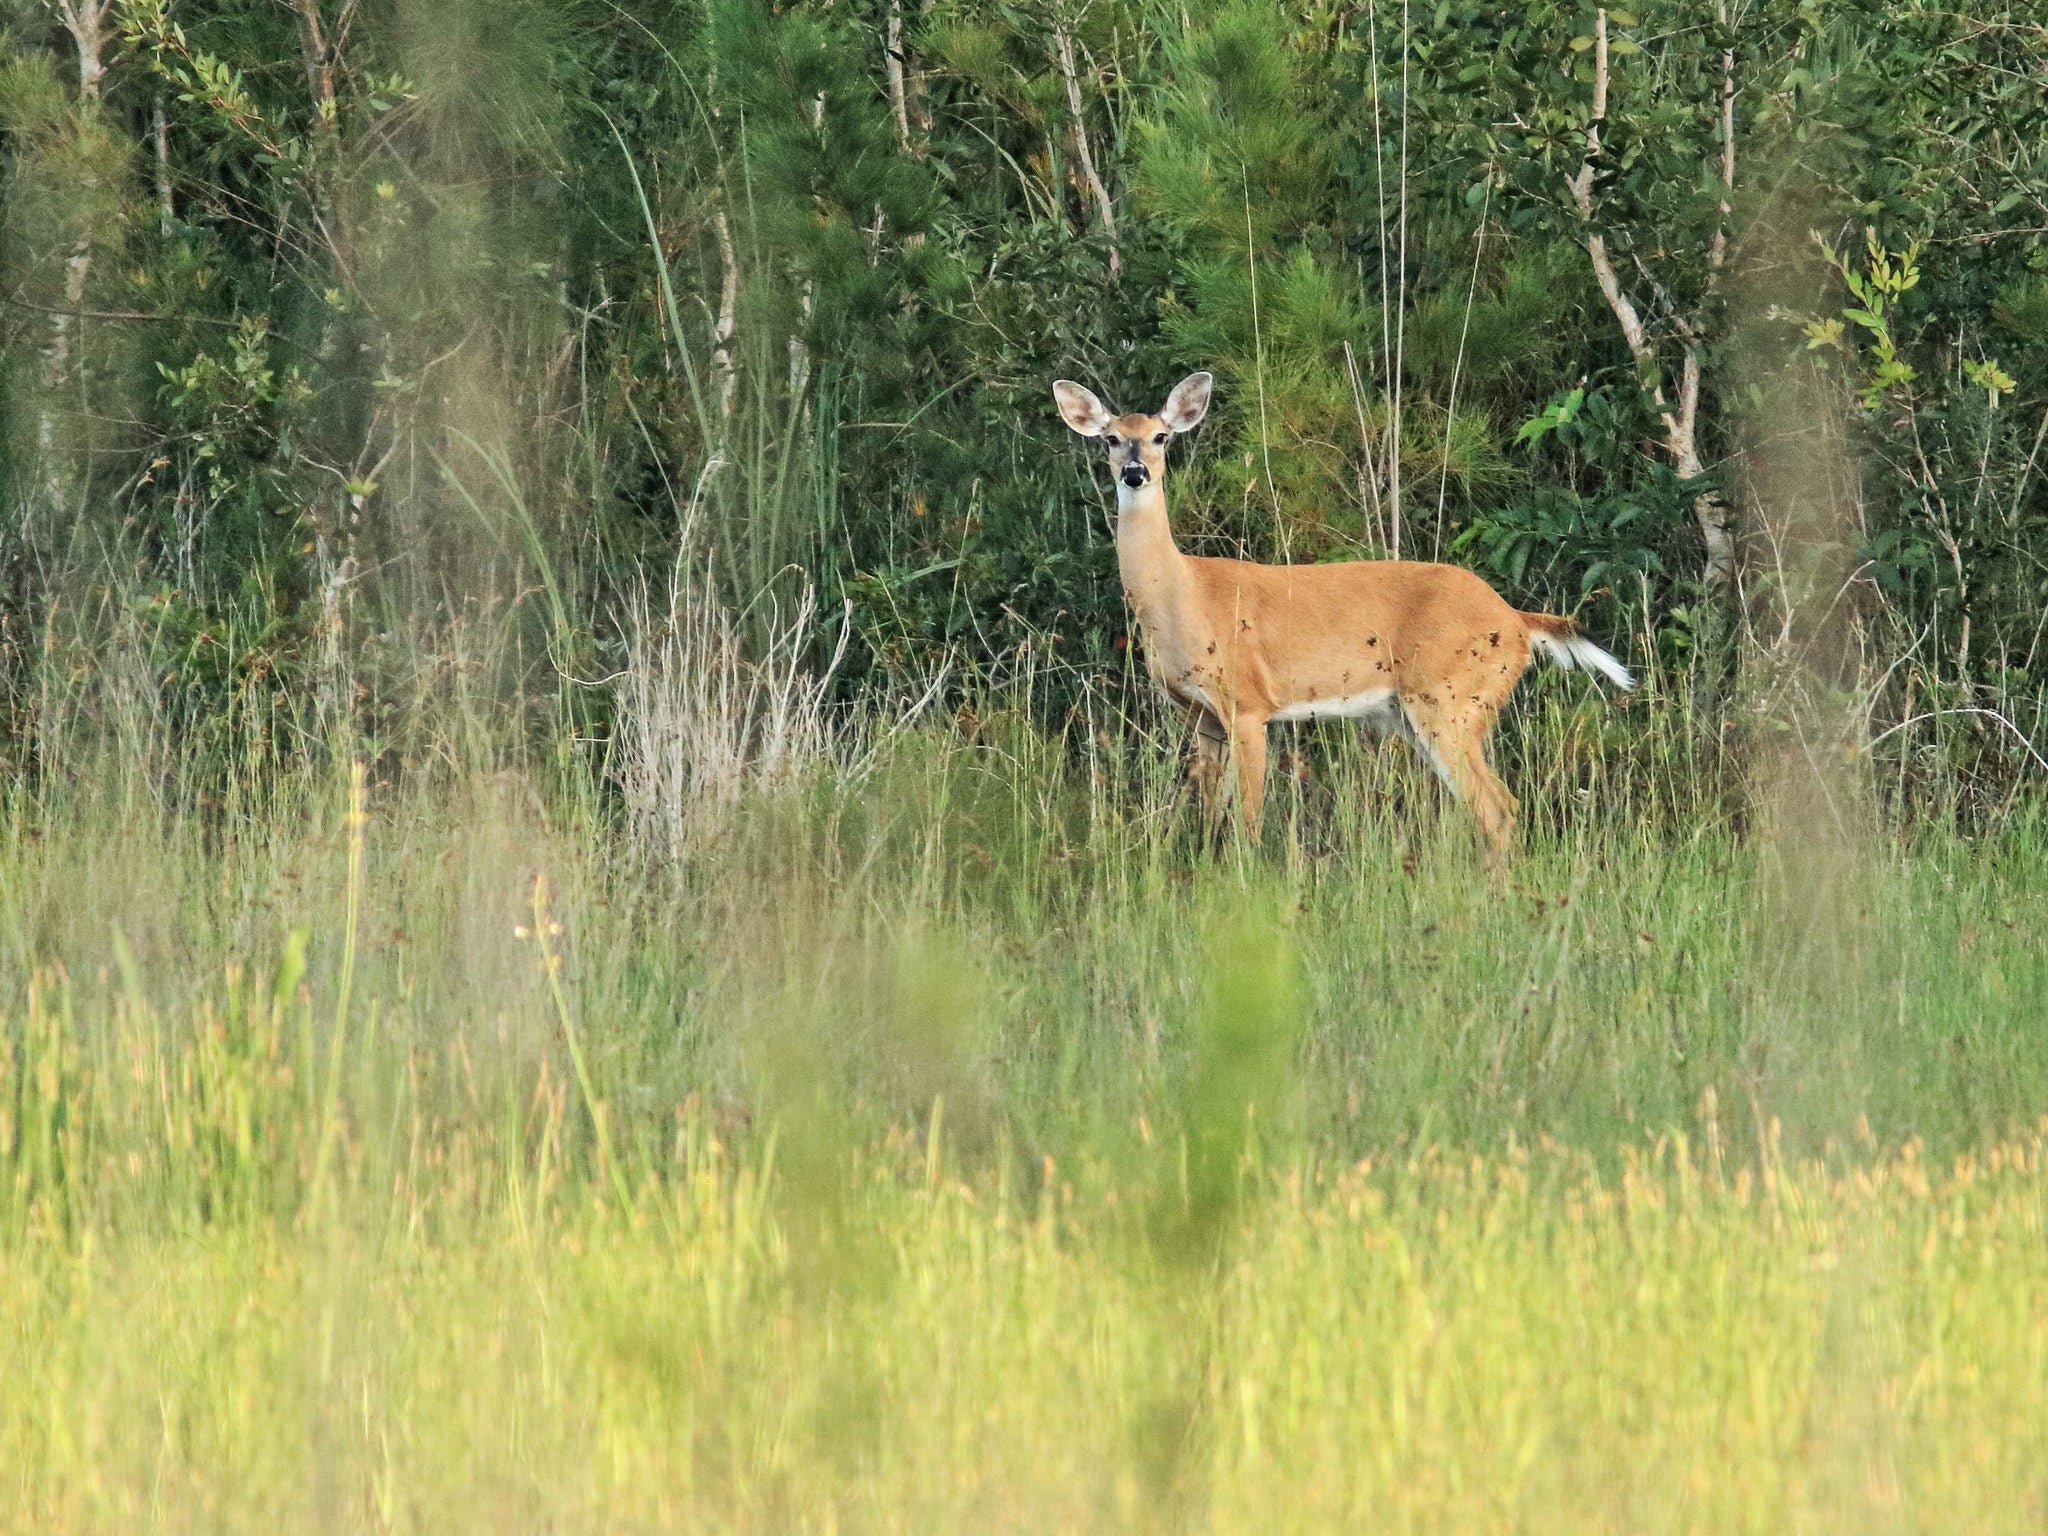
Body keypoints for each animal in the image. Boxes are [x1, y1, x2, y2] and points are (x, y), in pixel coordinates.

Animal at [1053, 371, 1634, 863]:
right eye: (1110, 439)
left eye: (1162, 437)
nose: (1135, 473)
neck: (1183, 598)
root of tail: (1515, 621)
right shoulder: (1203, 719)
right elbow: (1208, 817)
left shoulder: (1248, 703)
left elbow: (1248, 820)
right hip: (1433, 709)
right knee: (1496, 805)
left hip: (1450, 697)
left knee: (1496, 807)